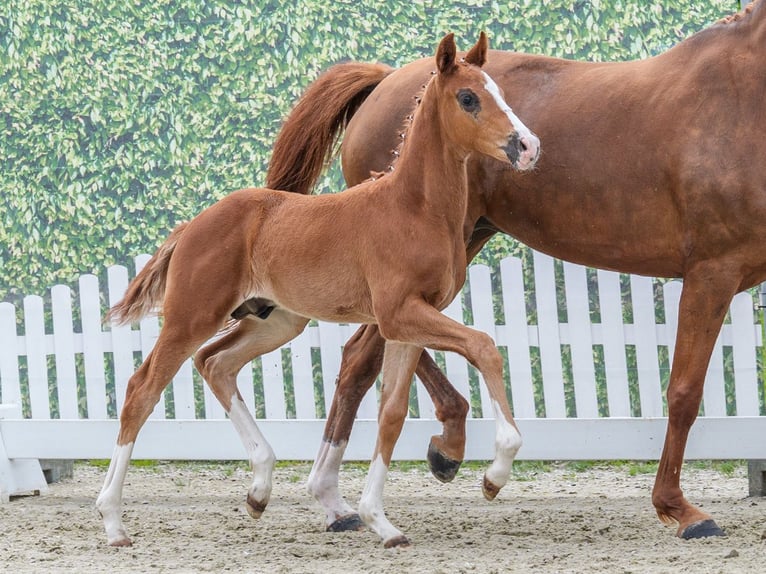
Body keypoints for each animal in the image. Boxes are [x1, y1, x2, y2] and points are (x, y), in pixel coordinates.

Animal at [96, 32, 540, 548]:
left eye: (501, 93)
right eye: (468, 98)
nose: (528, 147)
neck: (412, 208)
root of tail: (191, 226)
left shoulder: (407, 325)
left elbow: (391, 414)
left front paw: (381, 522)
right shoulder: (399, 313)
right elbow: (484, 345)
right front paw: (495, 473)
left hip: (278, 321)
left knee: (216, 363)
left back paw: (260, 489)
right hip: (192, 316)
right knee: (141, 390)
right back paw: (113, 522)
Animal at [264, 1, 766, 540]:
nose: (527, 146)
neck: (742, 97)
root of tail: (385, 81)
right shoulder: (712, 271)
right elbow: (685, 392)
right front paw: (680, 509)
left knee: (364, 354)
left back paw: (349, 494)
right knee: (372, 348)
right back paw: (426, 456)